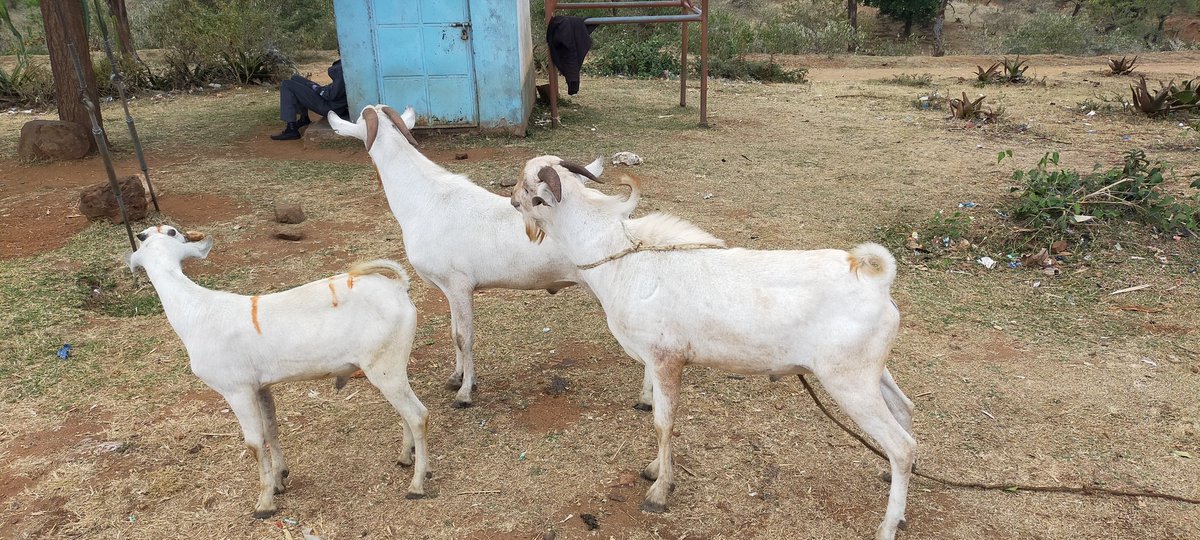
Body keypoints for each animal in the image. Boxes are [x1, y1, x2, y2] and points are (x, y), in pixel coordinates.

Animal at [125, 225, 429, 518]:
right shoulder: (260, 386)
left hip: (384, 366)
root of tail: (399, 287)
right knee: (405, 411)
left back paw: (416, 485)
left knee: (418, 415)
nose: (141, 234)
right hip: (392, 366)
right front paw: (279, 479)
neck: (196, 310)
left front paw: (264, 503)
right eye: (145, 235)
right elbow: (271, 430)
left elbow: (254, 443)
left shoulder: (237, 390)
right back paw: (405, 457)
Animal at [327, 105, 656, 409]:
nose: (332, 117)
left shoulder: (459, 285)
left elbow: (464, 337)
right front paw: (455, 378)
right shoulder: (449, 290)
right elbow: (454, 333)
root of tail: (621, 215)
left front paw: (464, 394)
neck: (425, 199)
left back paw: (645, 399)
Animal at [510, 157, 916, 540]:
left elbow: (663, 422)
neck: (622, 257)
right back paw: (895, 483)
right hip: (871, 372)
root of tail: (877, 281)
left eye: (527, 188)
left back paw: (887, 525)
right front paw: (655, 470)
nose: (511, 200)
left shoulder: (665, 360)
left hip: (848, 381)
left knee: (901, 446)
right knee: (905, 410)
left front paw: (660, 491)